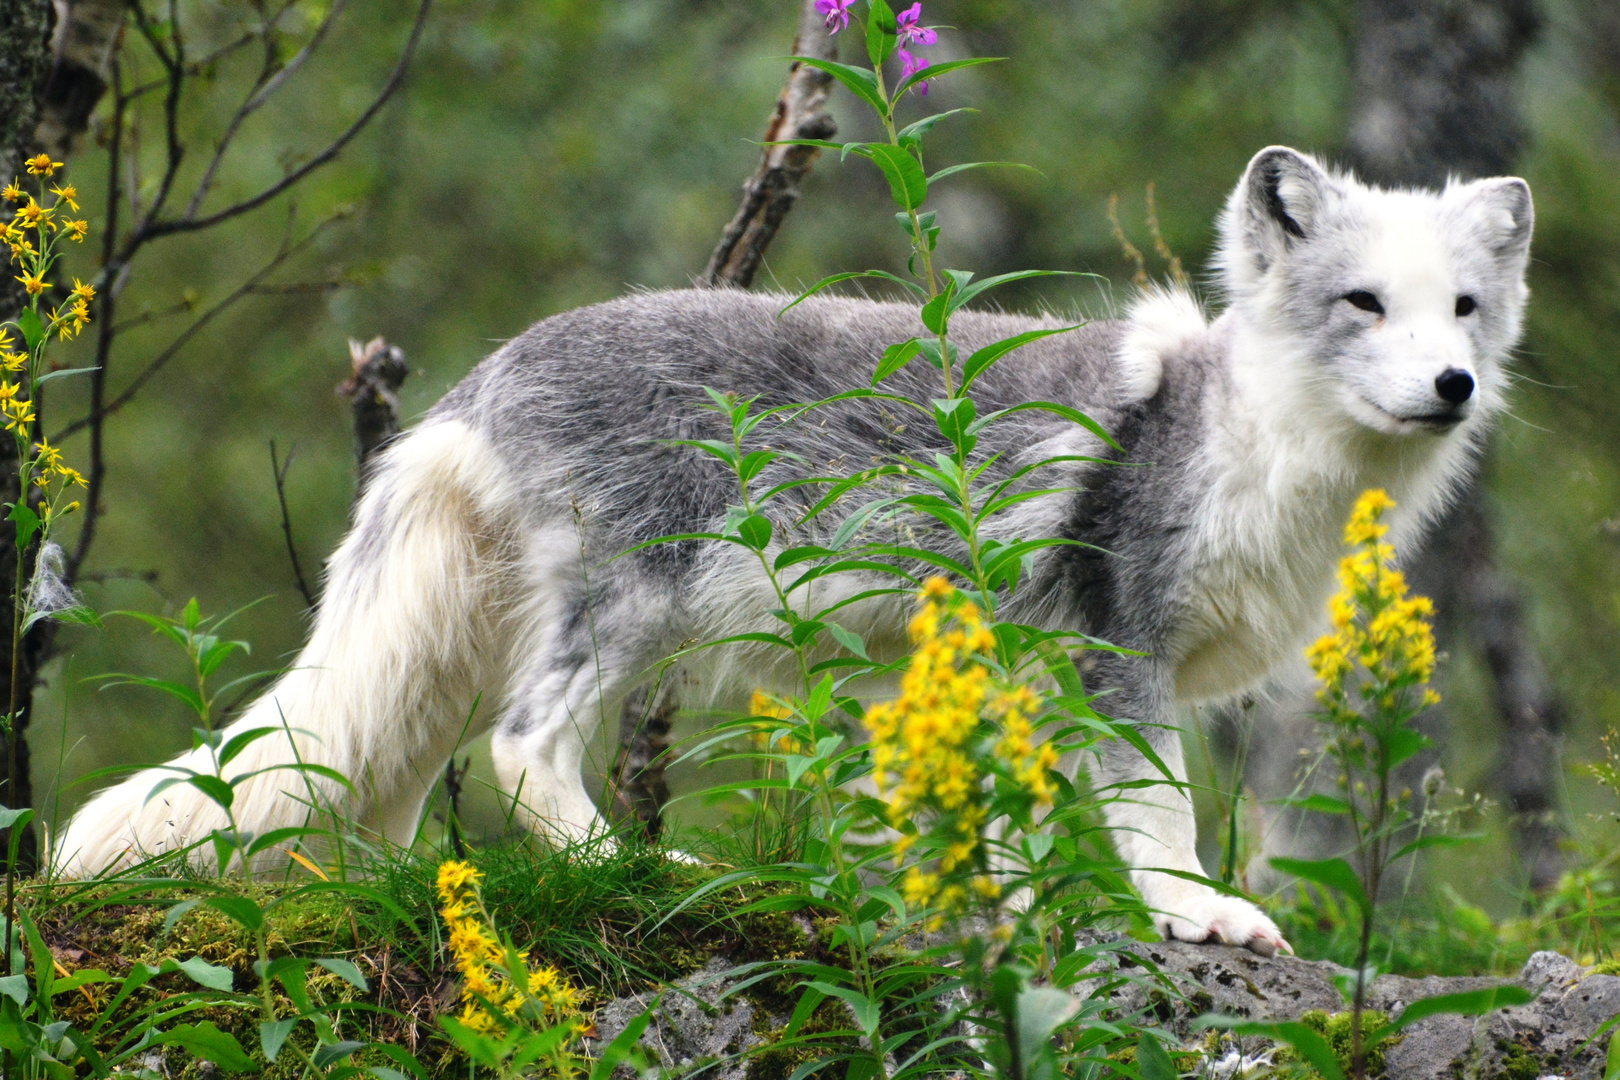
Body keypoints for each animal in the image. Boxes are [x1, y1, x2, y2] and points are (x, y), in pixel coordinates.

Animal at [57, 148, 1529, 958]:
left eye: (1463, 308)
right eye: (1362, 305)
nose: (1453, 385)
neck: (1251, 444)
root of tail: (482, 378)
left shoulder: (1035, 670)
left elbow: (1020, 827)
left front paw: (1005, 911)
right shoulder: (1120, 652)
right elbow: (1157, 811)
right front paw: (1199, 912)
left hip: (465, 655)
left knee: (396, 802)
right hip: (639, 603)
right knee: (525, 748)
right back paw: (641, 872)